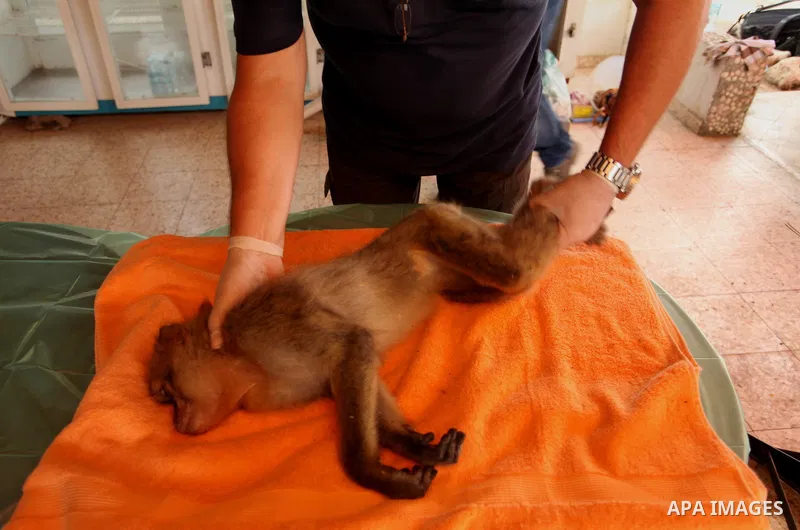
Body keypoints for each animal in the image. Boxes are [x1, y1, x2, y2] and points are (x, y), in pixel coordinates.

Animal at [148, 178, 607, 500]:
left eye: (166, 394)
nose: (177, 423)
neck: (244, 365)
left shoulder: (268, 328)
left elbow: (352, 345)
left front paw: (372, 473)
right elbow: (359, 369)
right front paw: (414, 446)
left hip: (432, 224)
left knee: (517, 272)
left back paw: (544, 206)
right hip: (448, 255)